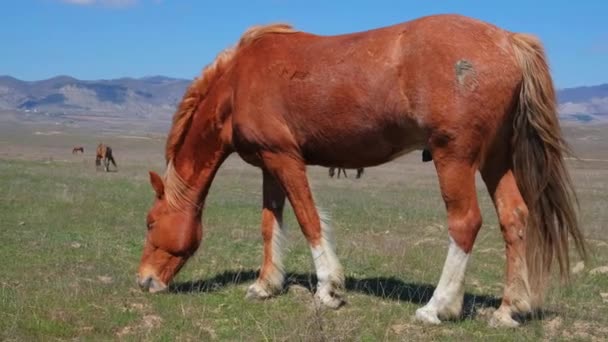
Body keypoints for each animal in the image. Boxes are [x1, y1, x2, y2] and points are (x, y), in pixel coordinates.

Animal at [137, 14, 584, 328]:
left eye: (150, 222)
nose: (144, 281)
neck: (238, 83)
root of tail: (508, 40)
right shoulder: (269, 164)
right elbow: (270, 224)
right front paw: (265, 285)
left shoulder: (286, 158)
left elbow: (308, 219)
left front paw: (328, 290)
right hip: (495, 160)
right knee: (514, 218)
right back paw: (507, 310)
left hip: (454, 157)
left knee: (465, 222)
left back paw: (437, 308)